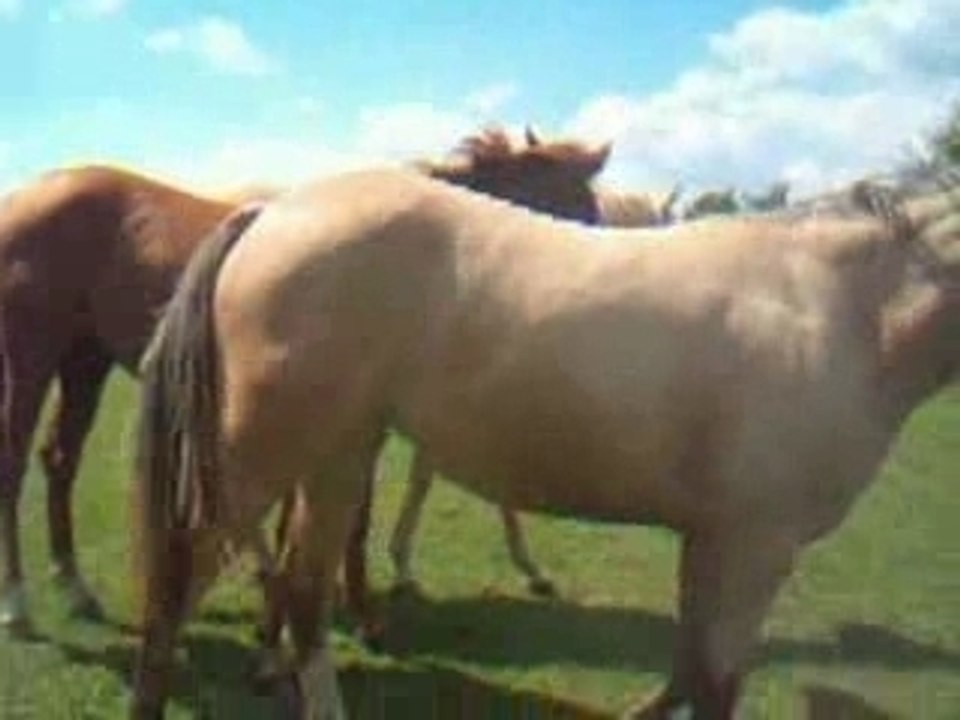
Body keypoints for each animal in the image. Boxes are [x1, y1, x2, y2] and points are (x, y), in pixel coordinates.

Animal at [0, 127, 613, 636]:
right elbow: (360, 515)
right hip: (34, 357)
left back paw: (74, 587)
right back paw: (19, 604)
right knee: (17, 461)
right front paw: (362, 610)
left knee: (60, 460)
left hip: (85, 359)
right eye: (578, 211)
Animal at [131, 163, 958, 718]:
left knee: (301, 592)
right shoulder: (756, 545)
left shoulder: (713, 539)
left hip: (338, 455)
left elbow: (688, 667)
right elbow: (716, 681)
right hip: (260, 461)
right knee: (184, 579)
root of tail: (271, 211)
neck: (836, 308)